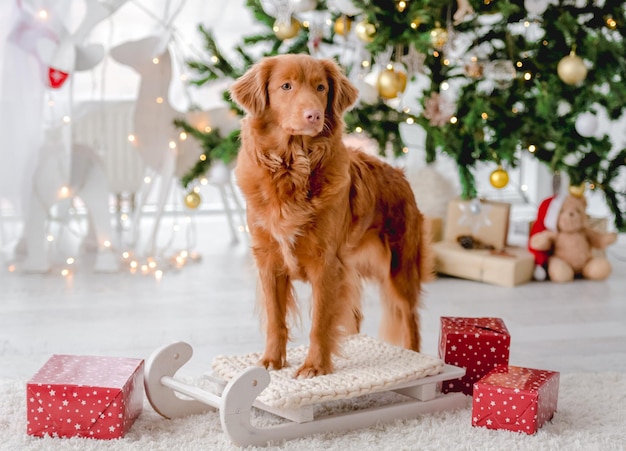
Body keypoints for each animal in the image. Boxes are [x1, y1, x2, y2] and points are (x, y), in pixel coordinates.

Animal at [230, 53, 434, 378]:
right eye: (286, 86)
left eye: (321, 87)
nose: (313, 115)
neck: (292, 169)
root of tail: (399, 174)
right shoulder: (269, 260)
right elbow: (275, 319)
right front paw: (271, 361)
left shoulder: (326, 264)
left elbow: (320, 323)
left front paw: (315, 366)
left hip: (400, 269)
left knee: (409, 316)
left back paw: (415, 355)